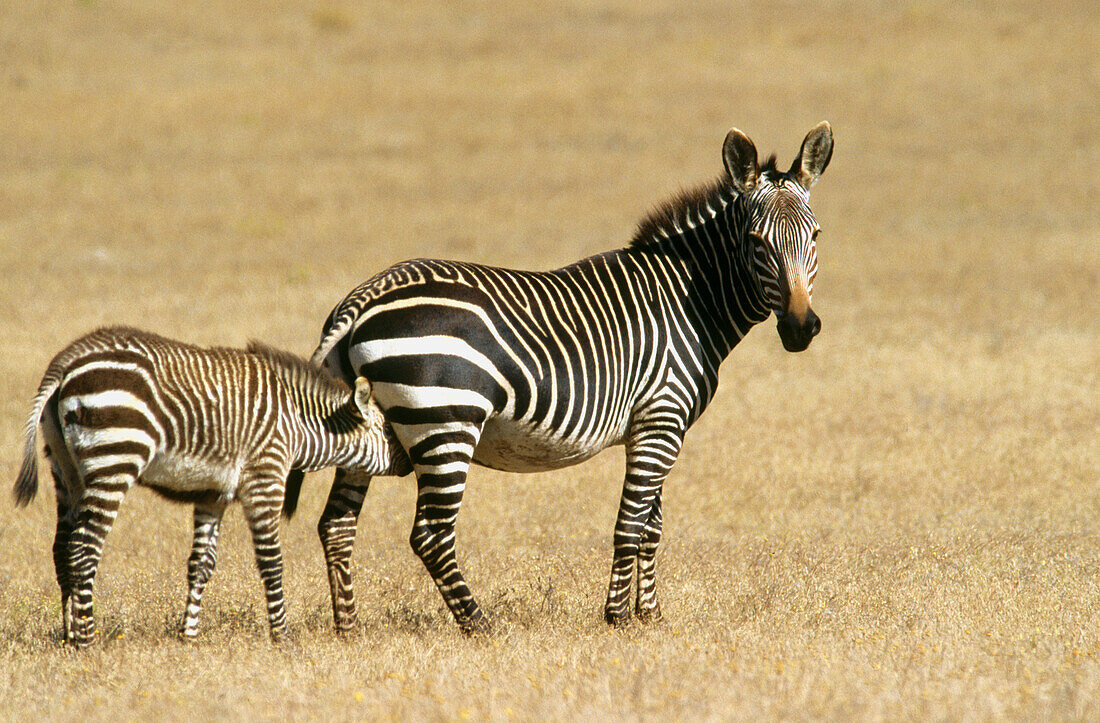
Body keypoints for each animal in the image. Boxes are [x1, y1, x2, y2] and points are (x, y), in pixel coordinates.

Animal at [13, 323, 409, 647]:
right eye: (390, 431)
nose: (409, 463)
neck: (299, 424)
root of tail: (67, 359)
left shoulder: (213, 494)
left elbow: (201, 565)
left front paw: (189, 637)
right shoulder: (265, 479)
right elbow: (272, 561)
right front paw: (281, 636)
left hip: (66, 471)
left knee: (62, 550)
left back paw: (69, 636)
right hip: (115, 458)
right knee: (84, 549)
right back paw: (87, 641)